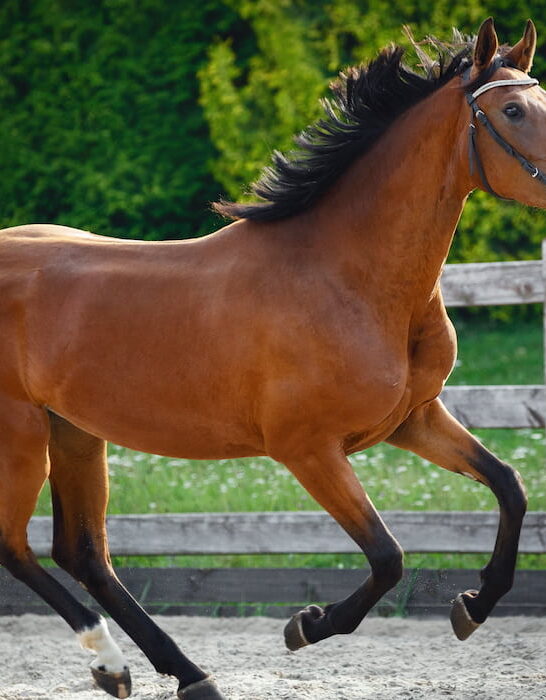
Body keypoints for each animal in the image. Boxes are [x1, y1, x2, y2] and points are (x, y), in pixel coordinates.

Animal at [1, 15, 544, 700]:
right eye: (511, 110)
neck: (346, 277)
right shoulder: (306, 449)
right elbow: (388, 557)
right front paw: (307, 625)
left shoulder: (413, 420)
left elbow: (510, 487)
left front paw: (472, 606)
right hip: (20, 435)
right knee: (16, 548)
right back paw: (113, 663)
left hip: (72, 431)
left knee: (84, 554)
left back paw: (184, 674)